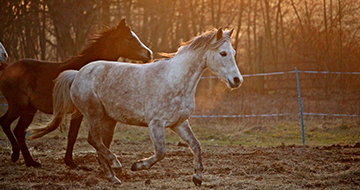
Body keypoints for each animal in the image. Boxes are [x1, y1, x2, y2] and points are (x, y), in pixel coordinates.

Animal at [0, 19, 153, 168]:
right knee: (6, 123)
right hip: (18, 106)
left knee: (19, 131)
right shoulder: (78, 112)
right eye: (129, 38)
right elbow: (73, 135)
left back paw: (30, 162)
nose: (149, 53)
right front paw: (71, 162)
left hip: (29, 109)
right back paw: (16, 155)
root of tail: (7, 68)